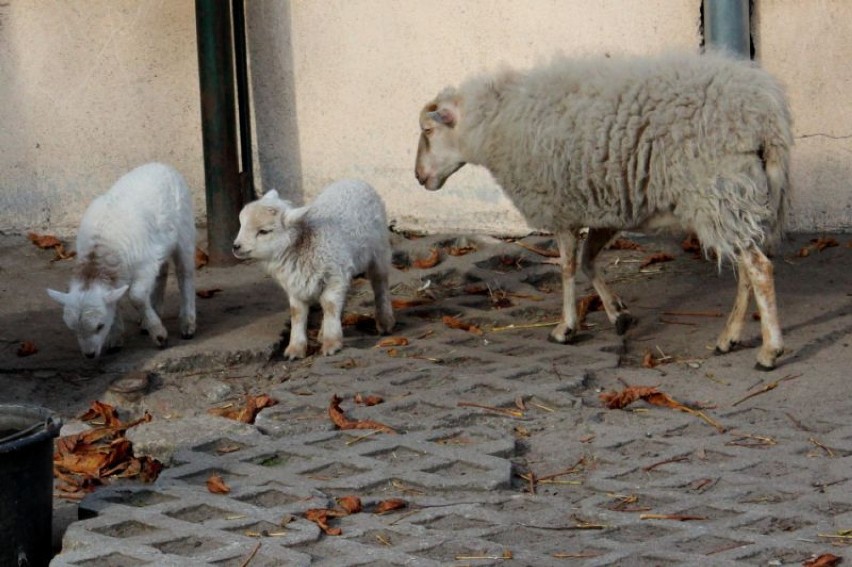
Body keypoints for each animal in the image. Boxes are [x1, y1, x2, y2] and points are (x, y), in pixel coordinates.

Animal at [48, 162, 198, 358]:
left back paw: (187, 323)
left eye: (100, 326)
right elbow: (116, 299)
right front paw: (115, 337)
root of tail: (161, 164)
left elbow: (136, 296)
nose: (89, 355)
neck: (98, 254)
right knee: (163, 271)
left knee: (185, 273)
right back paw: (154, 310)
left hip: (184, 229)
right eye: (73, 330)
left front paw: (159, 335)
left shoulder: (146, 264)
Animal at [231, 178, 394, 360]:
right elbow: (297, 313)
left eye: (264, 231)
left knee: (380, 282)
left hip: (379, 250)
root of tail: (354, 180)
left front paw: (331, 343)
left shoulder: (334, 275)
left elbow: (329, 305)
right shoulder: (295, 283)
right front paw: (295, 348)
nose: (236, 247)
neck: (304, 242)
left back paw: (385, 321)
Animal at [416, 52, 796, 372]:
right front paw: (617, 314)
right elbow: (587, 261)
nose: (419, 177)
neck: (493, 121)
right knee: (747, 270)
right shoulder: (610, 208)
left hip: (720, 192)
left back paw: (770, 351)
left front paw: (565, 327)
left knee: (759, 269)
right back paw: (729, 337)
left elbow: (567, 269)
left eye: (428, 130)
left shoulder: (559, 206)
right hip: (736, 200)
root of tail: (766, 117)